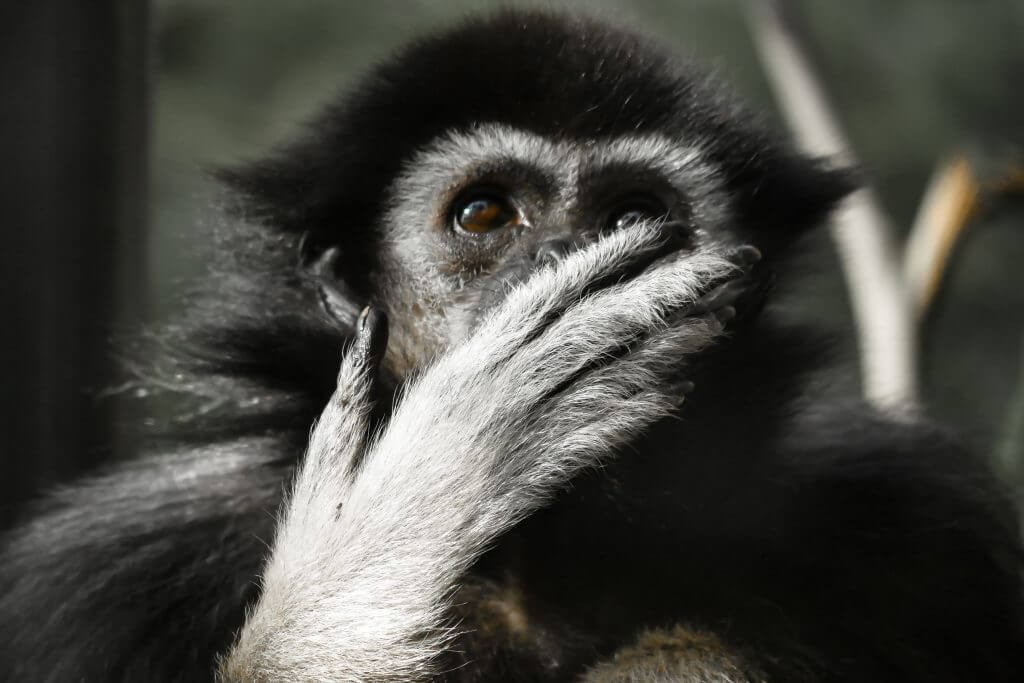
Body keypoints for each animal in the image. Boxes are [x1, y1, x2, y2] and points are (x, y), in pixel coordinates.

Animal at [1, 9, 1022, 682]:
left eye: (635, 215)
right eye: (485, 214)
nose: (560, 258)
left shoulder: (923, 522)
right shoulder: (102, 580)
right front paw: (415, 503)